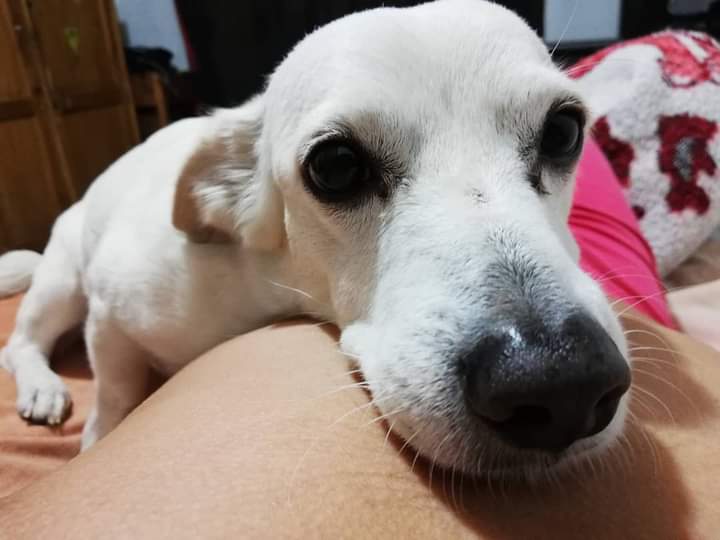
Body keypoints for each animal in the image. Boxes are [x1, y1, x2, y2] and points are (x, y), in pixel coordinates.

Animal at [0, 0, 631, 477]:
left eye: (563, 132)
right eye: (335, 167)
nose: (560, 382)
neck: (271, 286)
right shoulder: (110, 312)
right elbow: (113, 390)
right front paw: (98, 435)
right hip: (62, 281)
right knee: (22, 342)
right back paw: (43, 387)